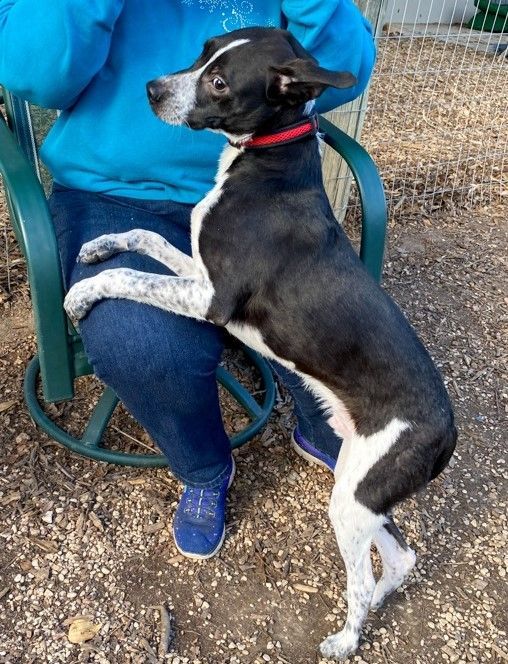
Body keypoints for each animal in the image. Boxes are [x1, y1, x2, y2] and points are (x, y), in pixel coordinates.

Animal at [63, 28, 456, 660]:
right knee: (401, 556)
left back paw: (347, 638)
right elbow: (146, 236)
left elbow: (129, 277)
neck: (269, 162)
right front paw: (101, 244)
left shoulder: (212, 300)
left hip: (353, 499)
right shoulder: (199, 272)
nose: (151, 89)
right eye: (204, 50)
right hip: (363, 490)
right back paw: (381, 600)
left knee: (362, 579)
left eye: (221, 82)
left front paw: (83, 292)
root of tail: (447, 433)